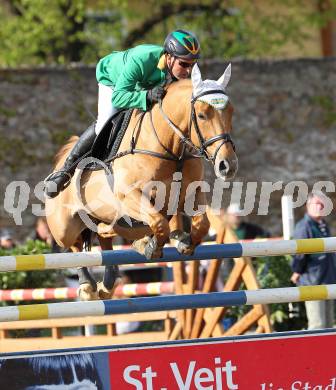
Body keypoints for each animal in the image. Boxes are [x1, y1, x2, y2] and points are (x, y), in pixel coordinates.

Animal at [46, 65, 238, 300]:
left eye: (231, 112)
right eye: (201, 115)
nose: (227, 165)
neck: (171, 149)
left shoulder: (191, 194)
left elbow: (201, 224)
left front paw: (182, 242)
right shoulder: (131, 197)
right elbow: (159, 223)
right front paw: (152, 247)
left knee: (103, 235)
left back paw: (108, 282)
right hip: (64, 227)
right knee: (72, 247)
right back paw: (87, 285)